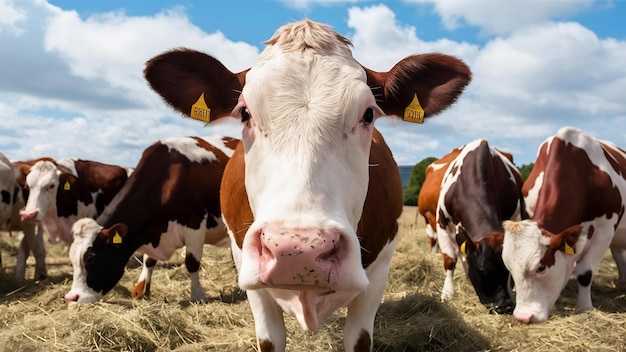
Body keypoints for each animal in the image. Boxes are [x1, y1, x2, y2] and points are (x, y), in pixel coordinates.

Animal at [65, 136, 236, 304]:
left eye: (90, 259)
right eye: (72, 258)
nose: (71, 297)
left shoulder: (195, 223)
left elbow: (192, 263)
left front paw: (198, 296)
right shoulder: (153, 230)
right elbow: (148, 262)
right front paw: (141, 291)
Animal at [426, 140, 524, 314]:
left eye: (508, 270)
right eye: (482, 270)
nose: (505, 306)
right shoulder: (442, 224)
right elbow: (450, 260)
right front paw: (447, 294)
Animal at [500, 127, 624, 324]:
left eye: (541, 268)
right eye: (508, 266)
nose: (523, 317)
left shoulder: (605, 229)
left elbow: (585, 273)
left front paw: (584, 308)